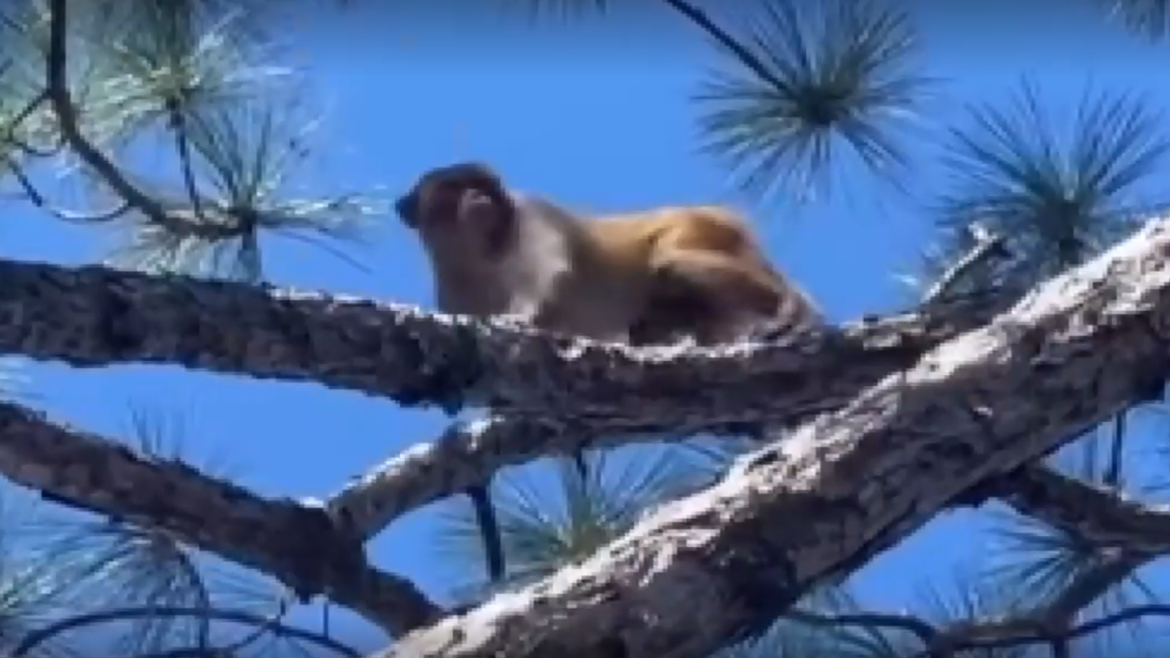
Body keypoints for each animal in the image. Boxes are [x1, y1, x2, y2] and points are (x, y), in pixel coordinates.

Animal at [394, 161, 824, 584]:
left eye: (482, 186)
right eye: (457, 186)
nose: (478, 196)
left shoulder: (533, 214)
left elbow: (550, 276)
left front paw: (520, 320)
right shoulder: (451, 295)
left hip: (698, 226)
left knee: (672, 264)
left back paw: (790, 307)